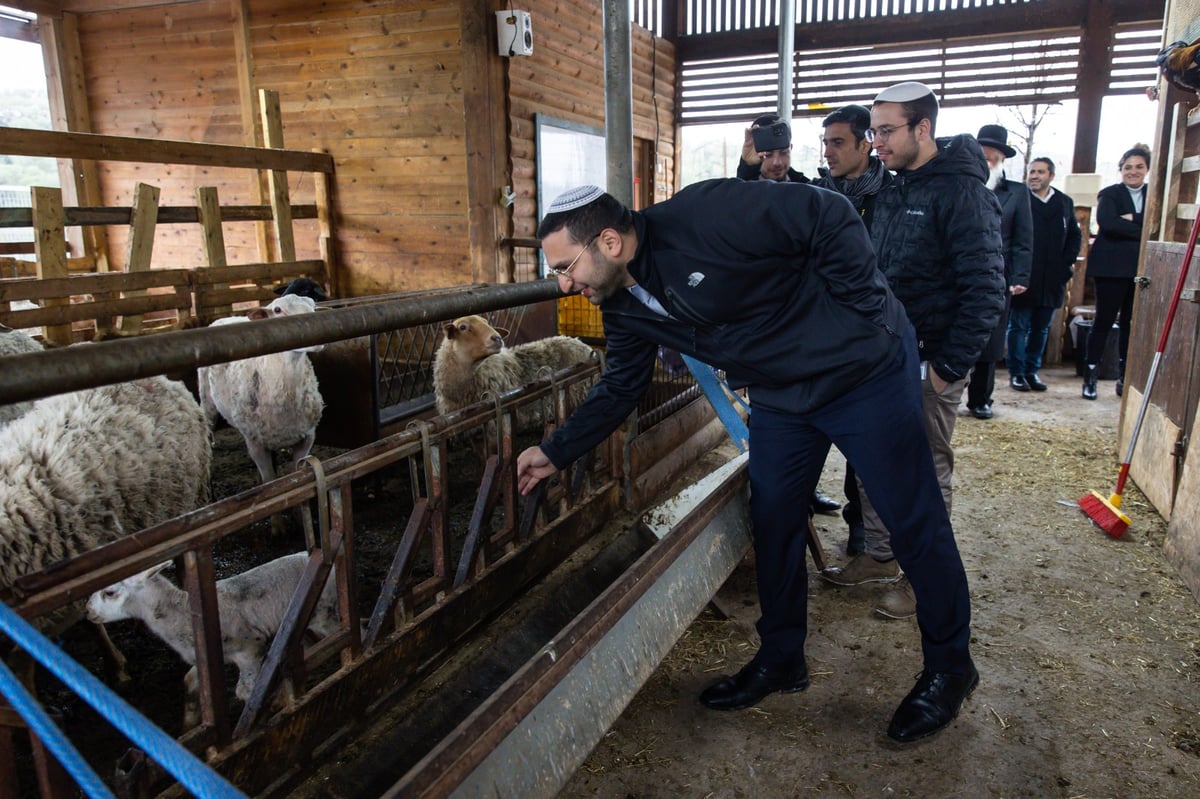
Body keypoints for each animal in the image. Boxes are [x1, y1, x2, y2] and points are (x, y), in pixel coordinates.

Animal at [85, 551, 340, 724]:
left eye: (110, 592)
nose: (87, 610)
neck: (183, 613)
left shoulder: (249, 650)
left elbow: (247, 692)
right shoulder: (203, 661)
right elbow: (189, 684)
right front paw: (189, 730)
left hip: (324, 614)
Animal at [198, 291, 326, 482]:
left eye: (314, 306)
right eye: (277, 310)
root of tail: (225, 318)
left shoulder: (307, 437)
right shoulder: (255, 443)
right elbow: (270, 481)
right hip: (207, 402)